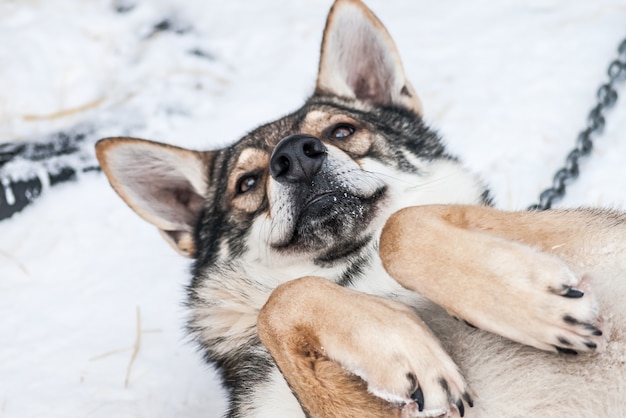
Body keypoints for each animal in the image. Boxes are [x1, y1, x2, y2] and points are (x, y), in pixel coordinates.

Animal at [95, 0, 624, 416]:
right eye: (246, 183)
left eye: (342, 131)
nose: (294, 156)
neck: (356, 279)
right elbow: (282, 302)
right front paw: (403, 349)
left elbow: (399, 229)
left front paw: (532, 304)